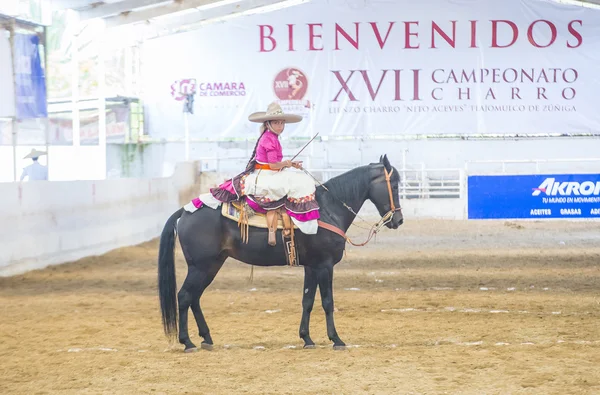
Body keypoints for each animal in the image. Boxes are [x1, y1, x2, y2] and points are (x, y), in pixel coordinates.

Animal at [157, 155, 406, 352]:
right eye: (394, 186)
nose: (399, 220)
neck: (327, 210)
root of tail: (185, 211)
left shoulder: (311, 266)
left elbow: (307, 300)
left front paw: (307, 339)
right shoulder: (324, 265)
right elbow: (327, 301)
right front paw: (336, 339)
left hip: (212, 265)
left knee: (195, 298)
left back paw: (206, 338)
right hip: (201, 266)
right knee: (185, 296)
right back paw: (187, 342)